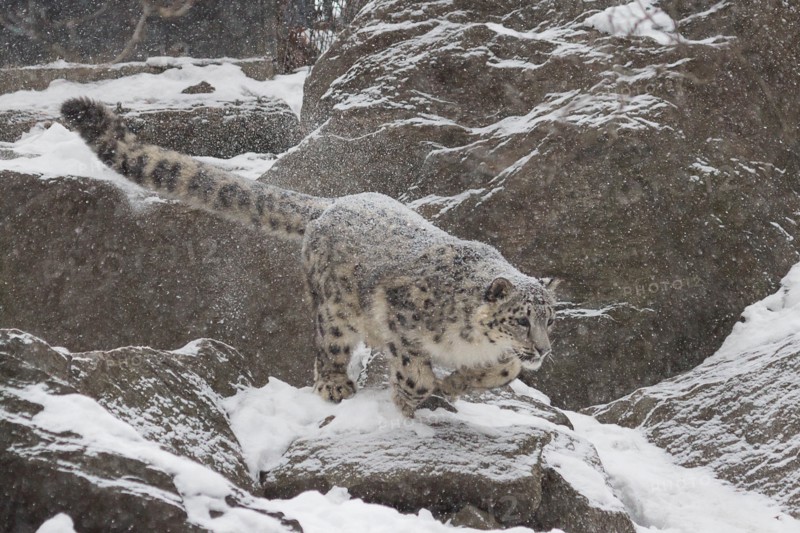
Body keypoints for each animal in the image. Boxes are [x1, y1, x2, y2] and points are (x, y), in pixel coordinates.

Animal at [60, 97, 559, 417]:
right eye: (521, 319)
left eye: (549, 320)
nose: (542, 348)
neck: (469, 343)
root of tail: (333, 204)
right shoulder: (402, 318)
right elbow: (414, 371)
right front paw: (418, 394)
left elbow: (507, 368)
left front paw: (456, 384)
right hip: (334, 312)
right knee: (328, 347)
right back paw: (336, 383)